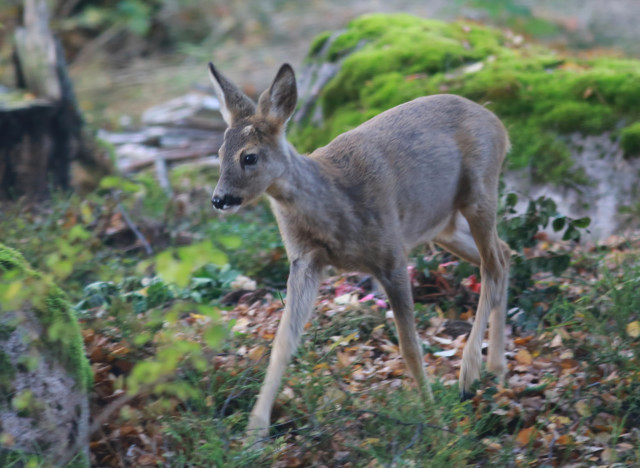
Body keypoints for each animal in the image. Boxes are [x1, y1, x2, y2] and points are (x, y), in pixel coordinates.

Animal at [209, 62, 510, 438]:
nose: (219, 199)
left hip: (479, 191)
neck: (335, 204)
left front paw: (435, 422)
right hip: (444, 226)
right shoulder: (305, 261)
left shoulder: (391, 254)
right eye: (219, 154)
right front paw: (254, 432)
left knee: (493, 265)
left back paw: (469, 375)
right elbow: (282, 343)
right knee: (505, 253)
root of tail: (498, 123)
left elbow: (410, 347)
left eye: (249, 156)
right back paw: (497, 368)